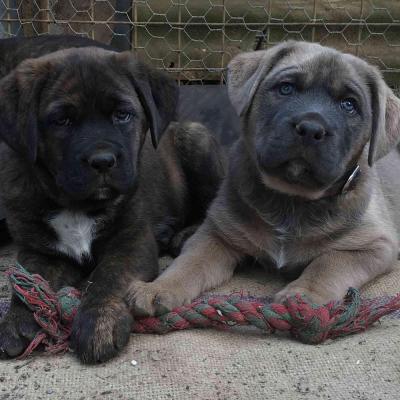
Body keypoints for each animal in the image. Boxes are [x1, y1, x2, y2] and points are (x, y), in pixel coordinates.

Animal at [0, 41, 223, 362]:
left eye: (122, 115)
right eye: (62, 120)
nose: (102, 161)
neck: (78, 205)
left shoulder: (131, 242)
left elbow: (109, 276)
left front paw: (98, 323)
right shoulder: (40, 250)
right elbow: (29, 279)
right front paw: (17, 321)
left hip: (196, 138)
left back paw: (184, 234)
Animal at [127, 41, 400, 316]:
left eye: (348, 104)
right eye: (286, 88)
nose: (311, 128)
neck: (291, 199)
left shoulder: (374, 245)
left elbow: (328, 263)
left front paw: (302, 294)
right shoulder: (216, 234)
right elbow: (189, 264)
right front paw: (158, 288)